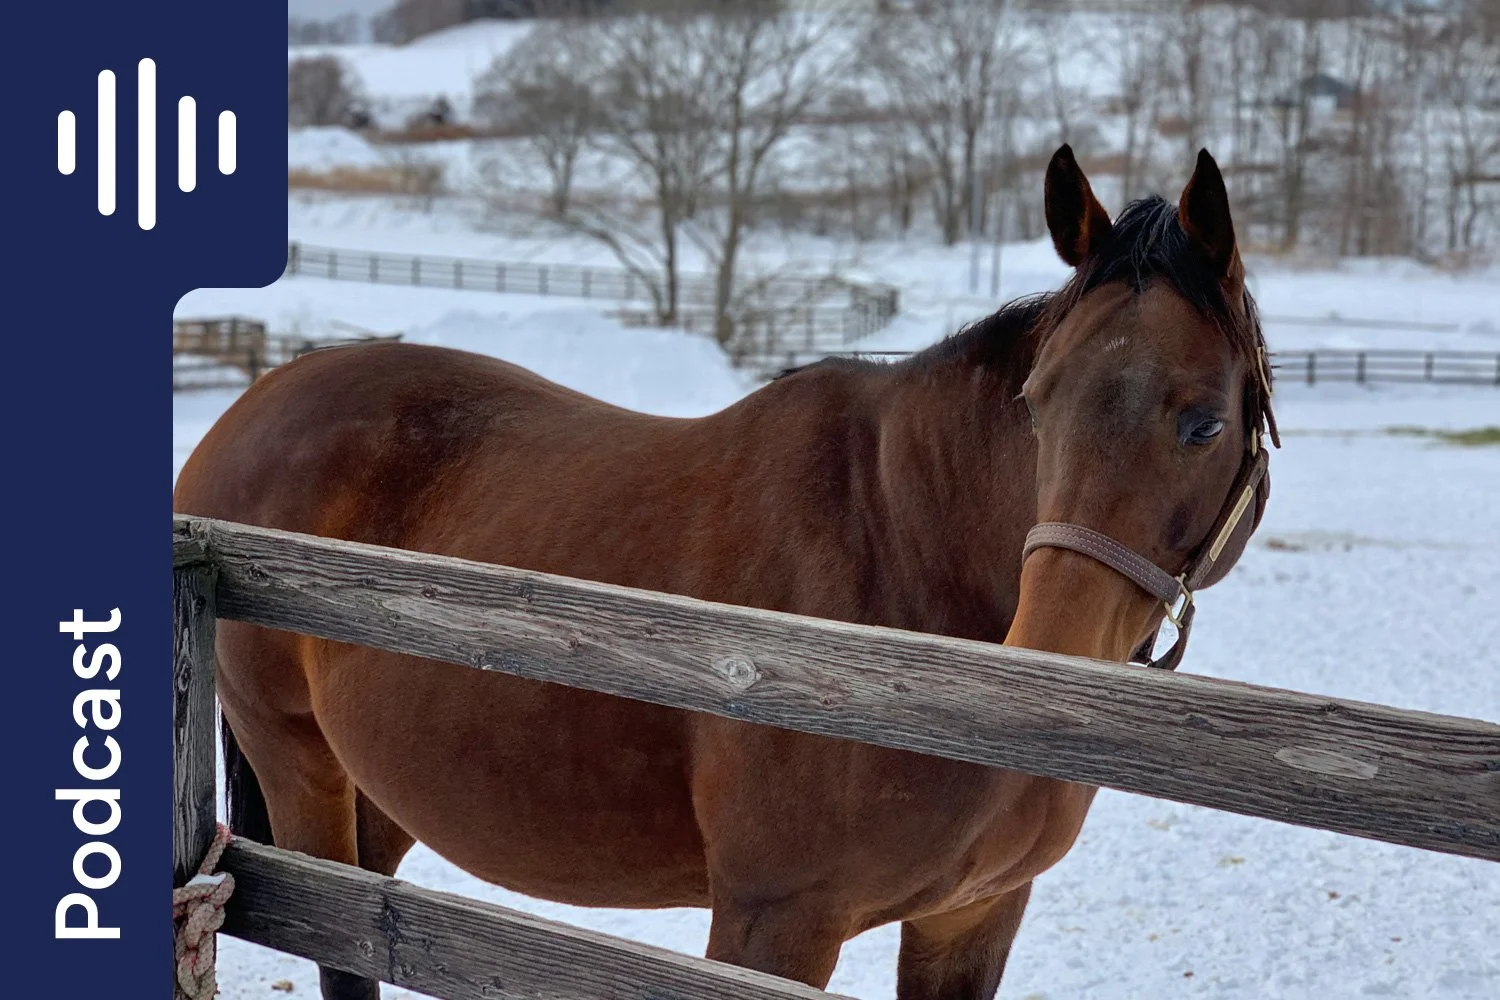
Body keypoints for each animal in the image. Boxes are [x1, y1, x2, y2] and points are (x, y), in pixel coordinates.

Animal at [173, 145, 1276, 1000]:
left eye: (1202, 421)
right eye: (1037, 402)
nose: (1036, 666)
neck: (903, 560)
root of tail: (249, 409)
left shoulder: (975, 915)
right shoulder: (773, 920)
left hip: (383, 793)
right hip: (302, 767)